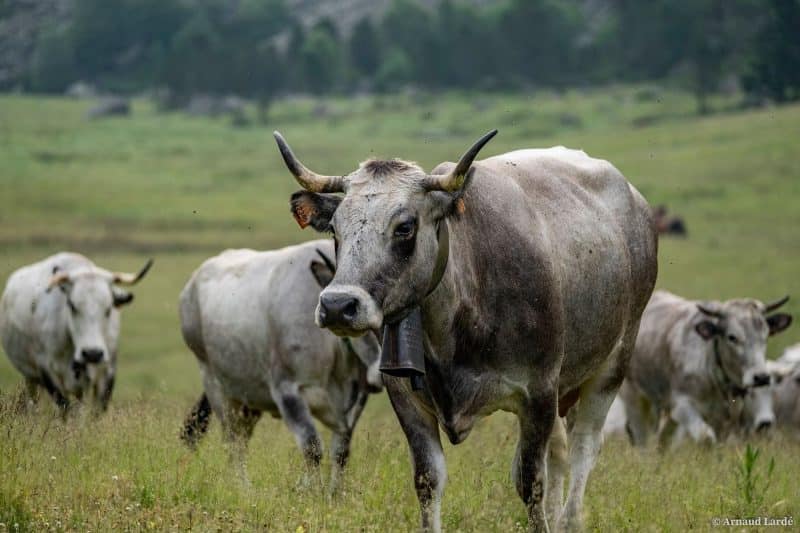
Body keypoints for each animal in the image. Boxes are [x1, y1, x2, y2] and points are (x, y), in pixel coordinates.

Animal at [0, 251, 152, 410]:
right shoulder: (48, 372)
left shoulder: (106, 374)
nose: (92, 353)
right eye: (72, 306)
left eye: (108, 308)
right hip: (30, 377)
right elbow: (65, 407)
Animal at [180, 241, 382, 490]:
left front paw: (334, 493)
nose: (382, 372)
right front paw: (313, 492)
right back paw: (243, 489)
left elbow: (340, 453)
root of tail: (190, 286)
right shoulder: (288, 391)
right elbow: (312, 448)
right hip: (216, 387)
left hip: (248, 401)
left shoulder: (355, 400)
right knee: (232, 443)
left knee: (241, 443)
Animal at [276, 130, 656, 532]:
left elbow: (530, 483)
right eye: (335, 229)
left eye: (405, 227)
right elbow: (428, 480)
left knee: (584, 448)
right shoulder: (405, 396)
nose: (337, 305)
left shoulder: (538, 393)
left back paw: (569, 520)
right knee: (560, 452)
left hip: (612, 365)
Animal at [620, 288, 792, 446]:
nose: (761, 377)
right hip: (634, 398)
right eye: (732, 337)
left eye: (766, 336)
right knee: (642, 437)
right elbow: (706, 438)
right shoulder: (682, 405)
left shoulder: (725, 419)